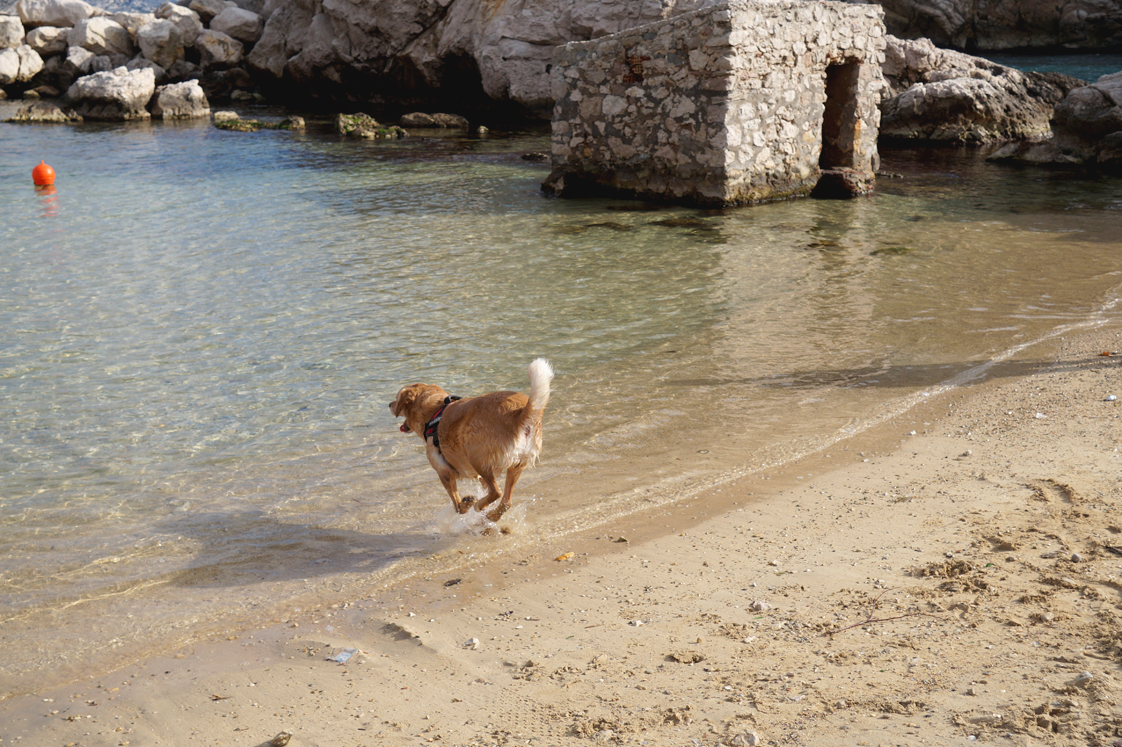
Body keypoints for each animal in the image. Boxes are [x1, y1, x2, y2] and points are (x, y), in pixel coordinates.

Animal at [390, 358, 556, 520]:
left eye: (396, 398)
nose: (389, 404)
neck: (435, 411)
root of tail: (520, 412)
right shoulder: (479, 477)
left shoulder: (444, 472)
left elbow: (457, 506)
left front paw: (467, 502)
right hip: (516, 465)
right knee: (506, 502)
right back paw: (491, 515)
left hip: (476, 457)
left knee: (496, 492)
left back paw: (478, 506)